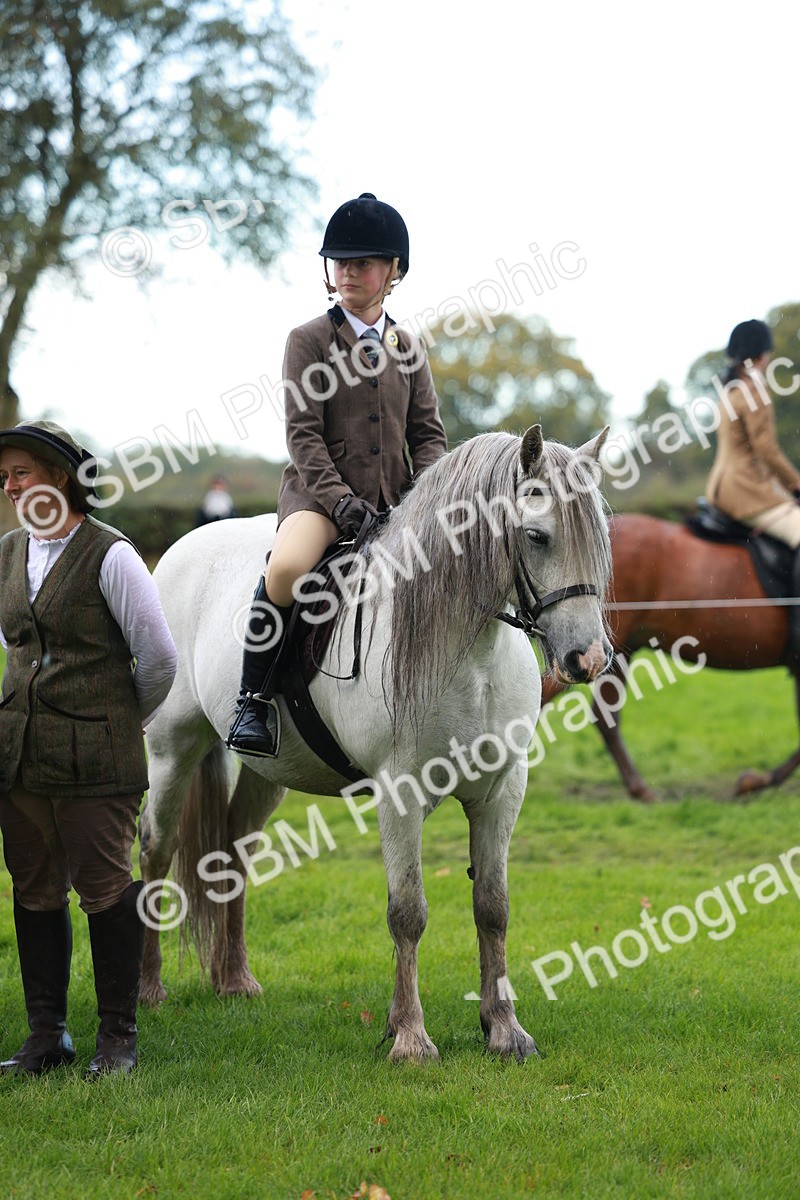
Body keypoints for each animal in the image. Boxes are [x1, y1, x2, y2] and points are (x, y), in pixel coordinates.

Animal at [137, 427, 613, 1063]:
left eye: (600, 537)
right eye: (537, 536)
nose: (588, 658)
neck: (471, 654)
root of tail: (179, 552)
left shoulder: (500, 794)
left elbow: (493, 908)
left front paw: (504, 1029)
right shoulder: (400, 796)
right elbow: (407, 912)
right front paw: (410, 1037)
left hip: (265, 770)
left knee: (231, 853)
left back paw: (234, 981)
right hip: (172, 749)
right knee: (156, 849)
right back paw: (148, 988)